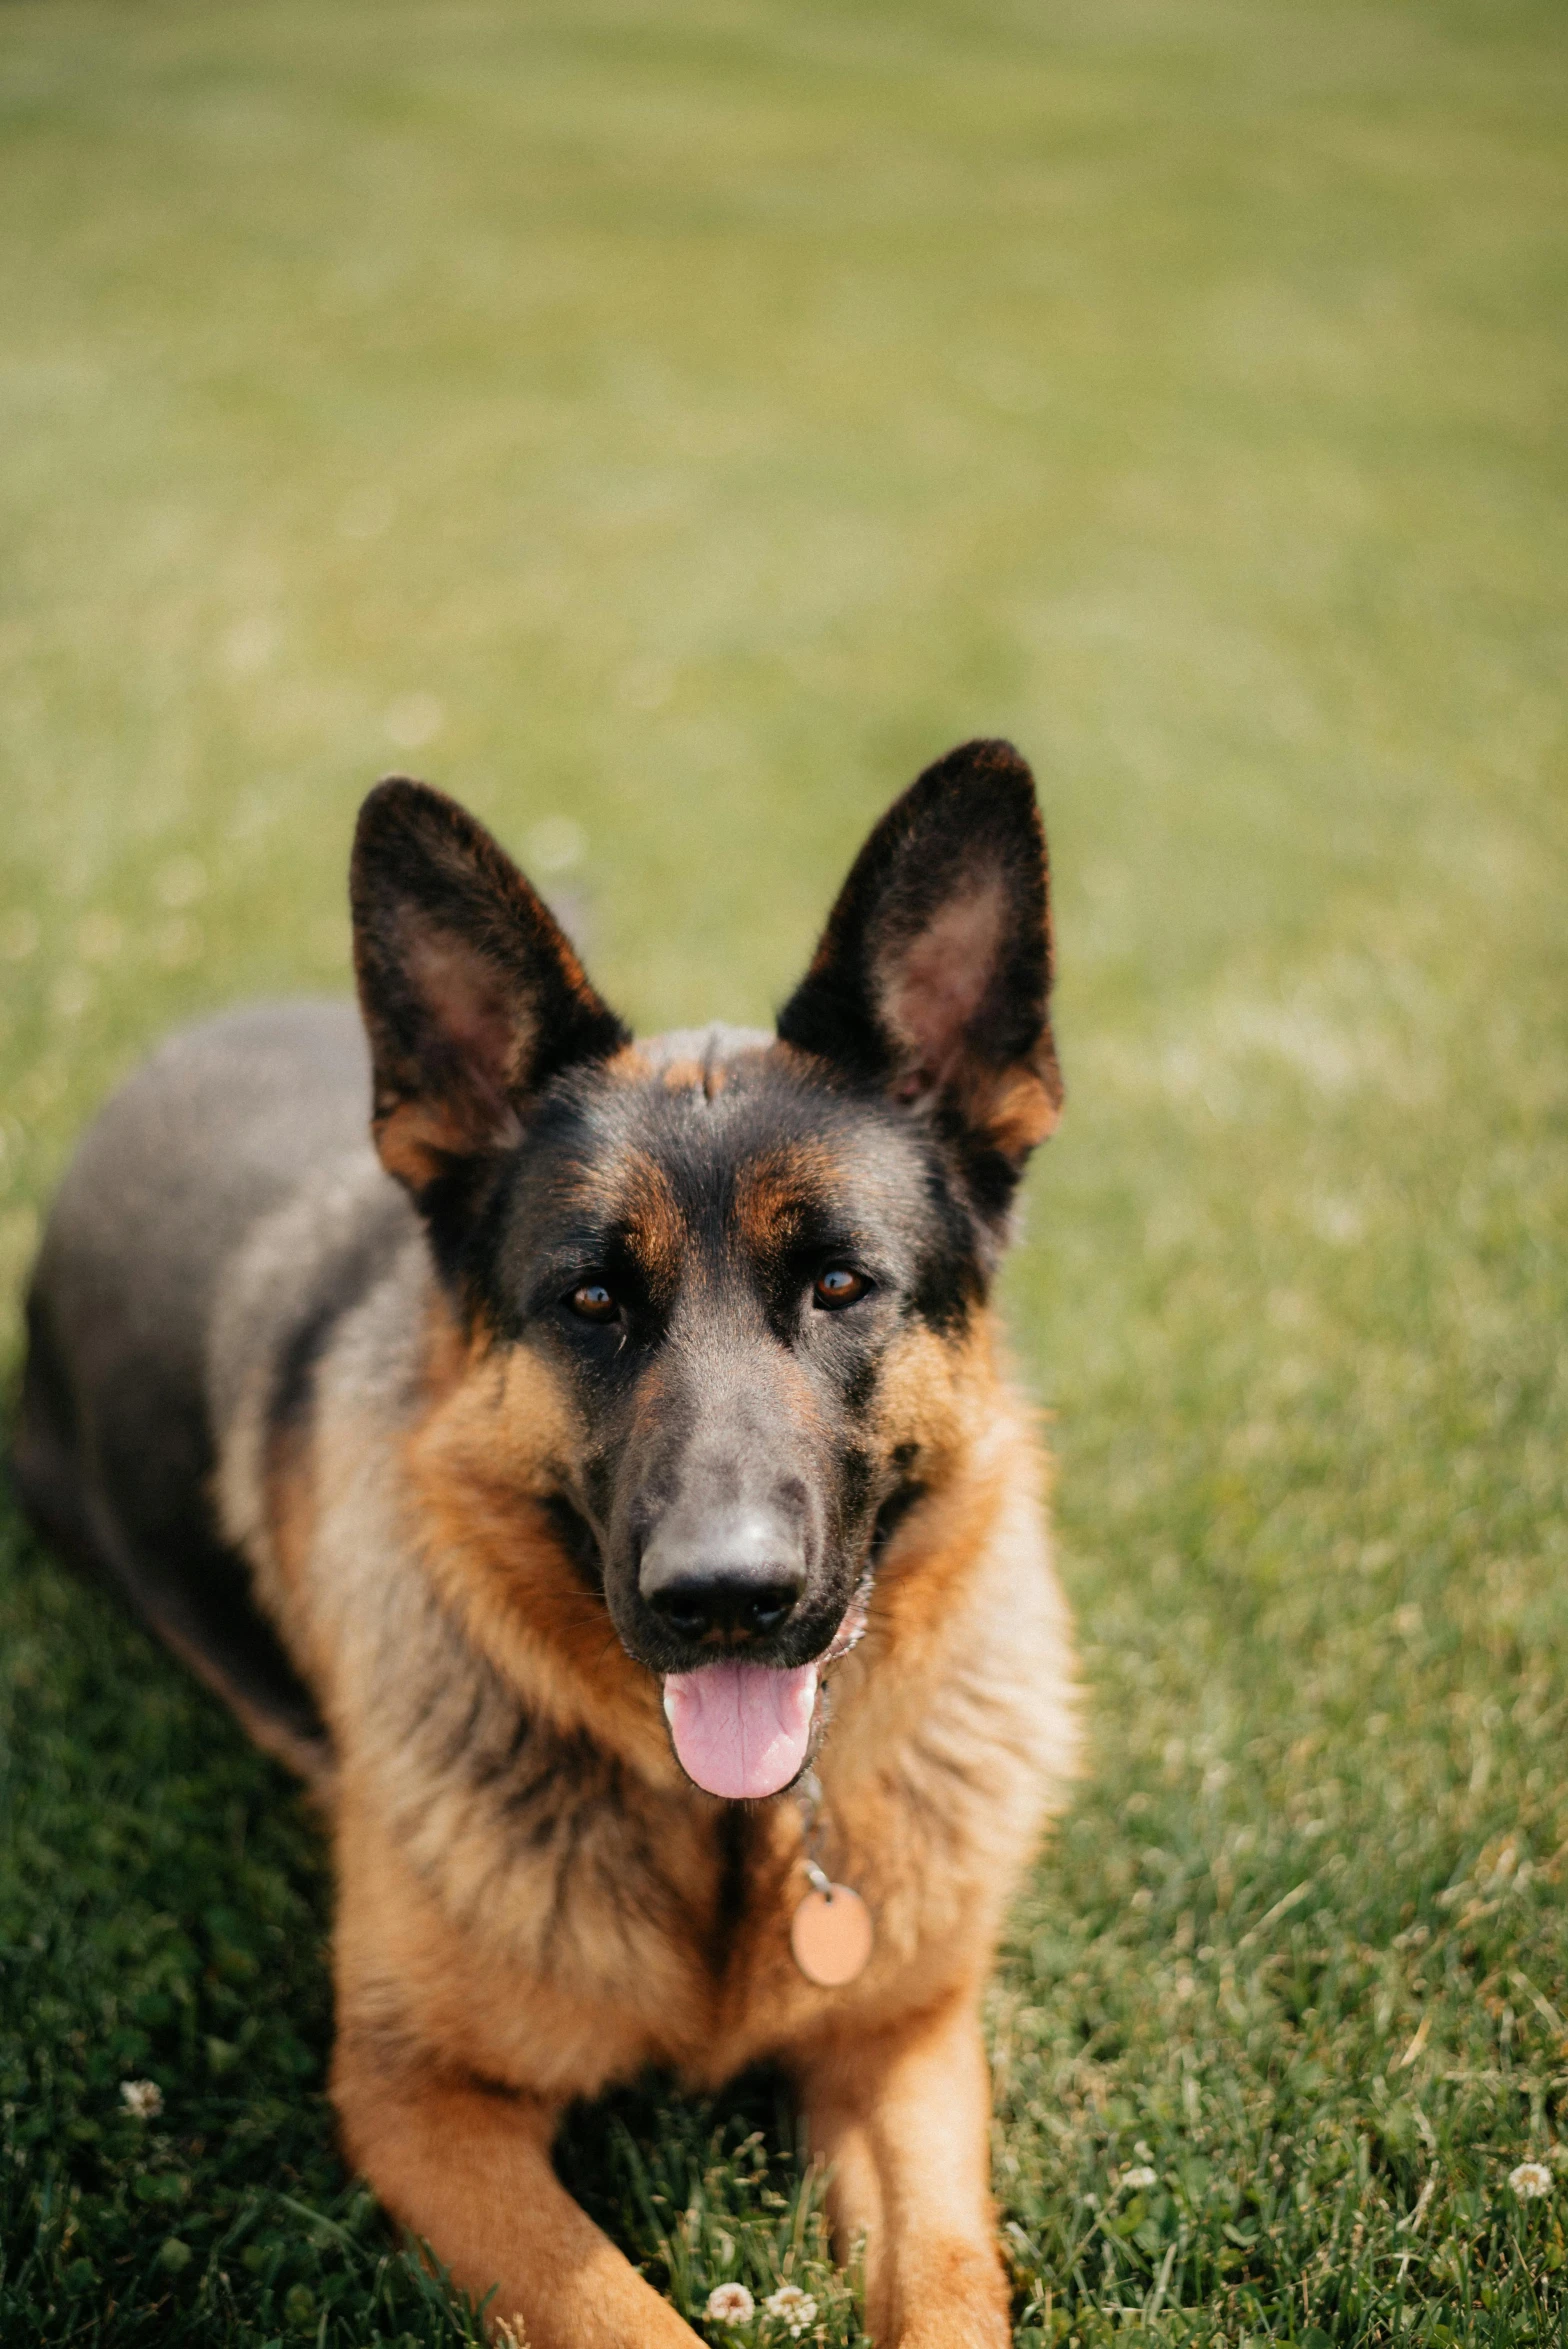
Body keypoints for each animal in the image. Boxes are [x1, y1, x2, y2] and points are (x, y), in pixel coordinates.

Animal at [18, 742, 1079, 2339]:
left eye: (840, 1284)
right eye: (589, 1301)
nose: (726, 1598)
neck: (726, 1842)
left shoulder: (903, 2039)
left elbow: (953, 2279)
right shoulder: (422, 2099)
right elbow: (620, 2314)